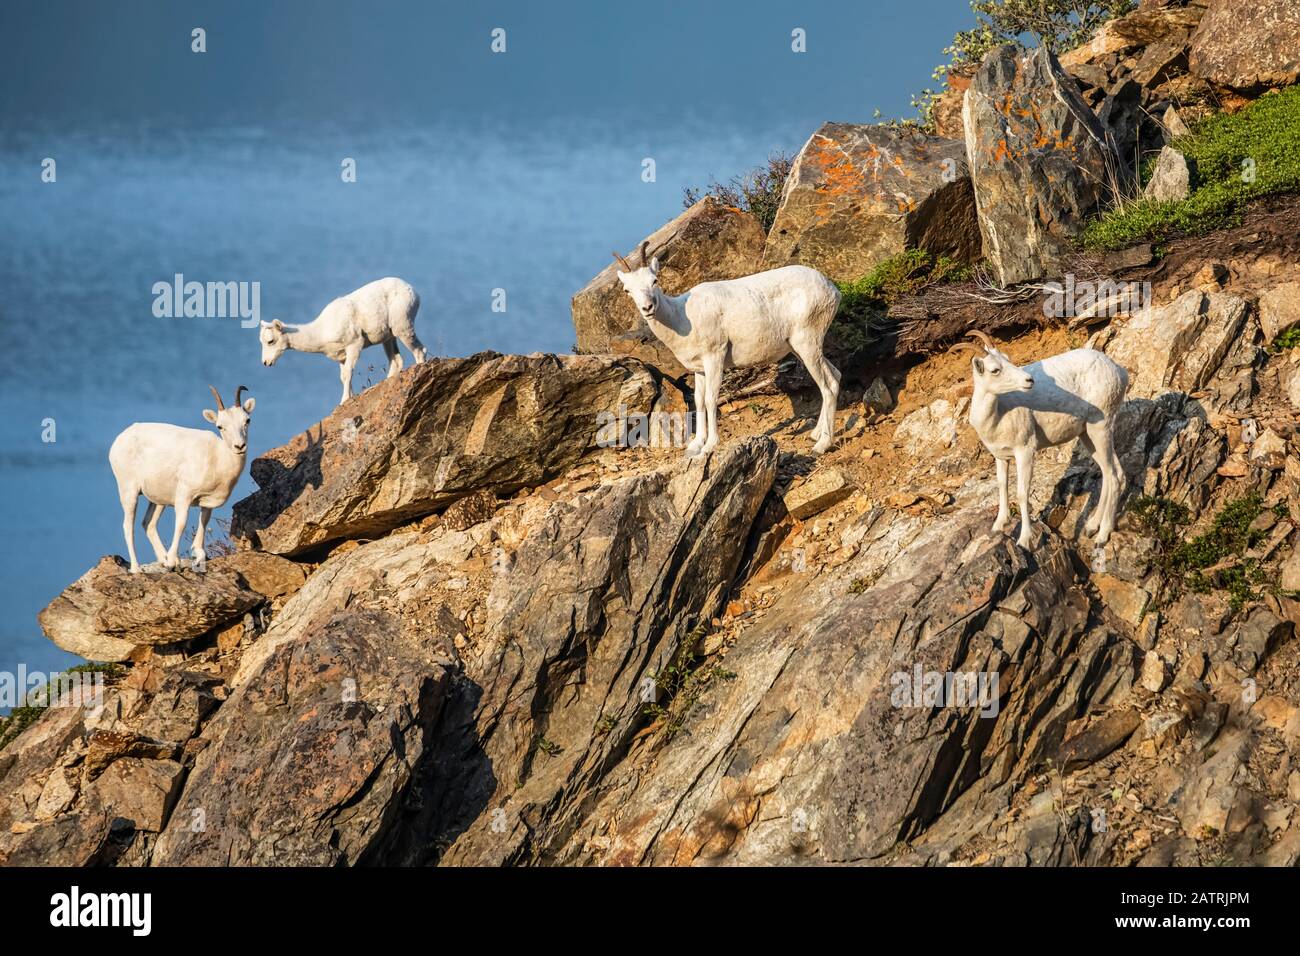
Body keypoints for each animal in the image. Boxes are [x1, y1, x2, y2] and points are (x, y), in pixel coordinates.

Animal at [109, 386, 255, 574]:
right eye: (220, 426)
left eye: (247, 420)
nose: (239, 446)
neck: (217, 457)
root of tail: (119, 440)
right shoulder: (184, 496)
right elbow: (181, 523)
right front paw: (173, 561)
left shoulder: (206, 502)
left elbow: (204, 521)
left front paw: (196, 556)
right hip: (129, 491)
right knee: (128, 525)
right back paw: (137, 568)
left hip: (157, 500)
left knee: (148, 523)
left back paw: (163, 560)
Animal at [259, 276, 426, 406]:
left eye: (270, 341)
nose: (266, 363)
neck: (322, 331)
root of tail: (412, 290)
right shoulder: (341, 356)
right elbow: (344, 376)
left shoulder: (354, 345)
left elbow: (349, 372)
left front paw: (344, 400)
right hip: (389, 338)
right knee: (396, 361)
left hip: (403, 327)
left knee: (419, 351)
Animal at [612, 241, 842, 456]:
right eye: (627, 290)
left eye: (654, 280)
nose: (647, 308)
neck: (682, 317)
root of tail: (832, 289)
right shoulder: (699, 369)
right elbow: (698, 401)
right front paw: (696, 445)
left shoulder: (715, 357)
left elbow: (710, 399)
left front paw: (709, 446)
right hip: (799, 348)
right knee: (835, 376)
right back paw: (815, 434)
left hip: (807, 343)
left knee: (827, 386)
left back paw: (822, 445)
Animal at [953, 330, 1129, 549]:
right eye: (995, 370)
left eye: (1007, 358)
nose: (1029, 380)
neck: (998, 413)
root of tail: (1120, 372)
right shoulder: (1001, 457)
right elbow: (1002, 485)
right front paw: (998, 526)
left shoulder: (1025, 451)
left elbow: (1022, 493)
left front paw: (1024, 540)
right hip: (1089, 436)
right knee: (1112, 473)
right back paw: (1091, 527)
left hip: (1100, 430)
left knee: (1113, 476)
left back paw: (1101, 537)